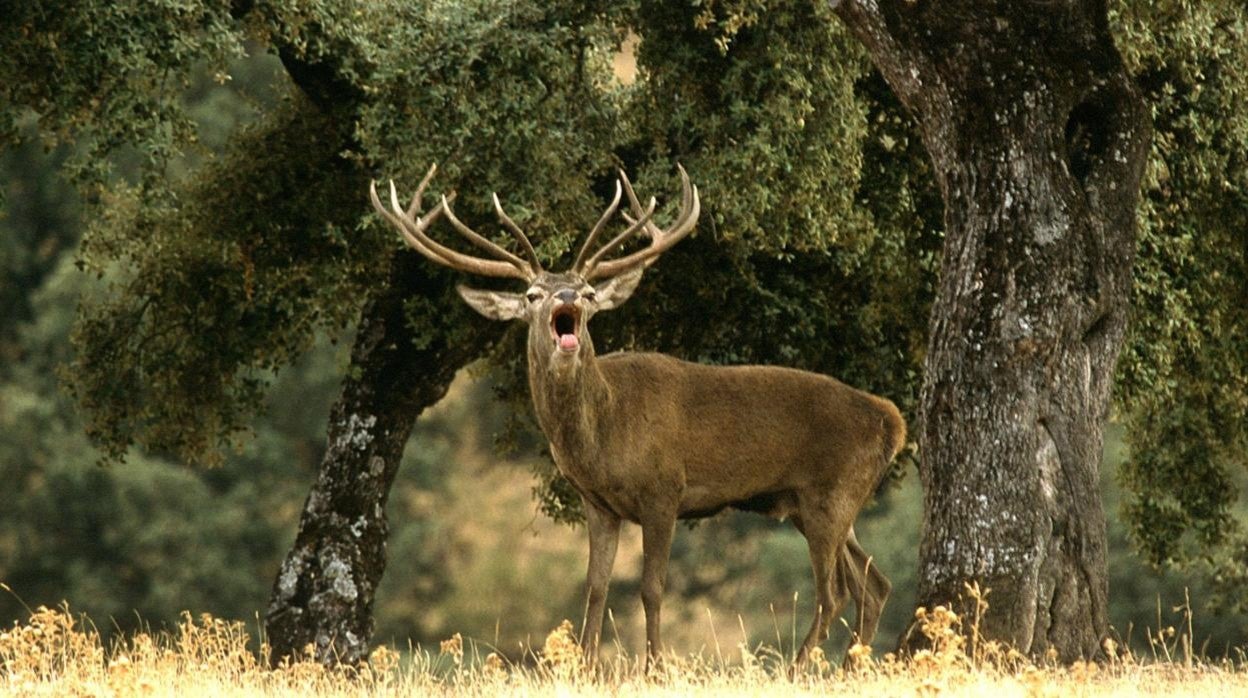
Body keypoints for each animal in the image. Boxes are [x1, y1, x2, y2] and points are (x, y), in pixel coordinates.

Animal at [364, 162, 903, 664]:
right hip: (818, 502)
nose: (566, 298)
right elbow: (595, 588)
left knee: (834, 592)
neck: (604, 433)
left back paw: (799, 669)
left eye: (586, 291)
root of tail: (891, 420)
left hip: (830, 491)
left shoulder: (664, 488)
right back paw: (849, 666)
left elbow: (651, 588)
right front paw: (585, 667)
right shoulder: (598, 503)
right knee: (873, 585)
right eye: (533, 294)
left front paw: (655, 667)